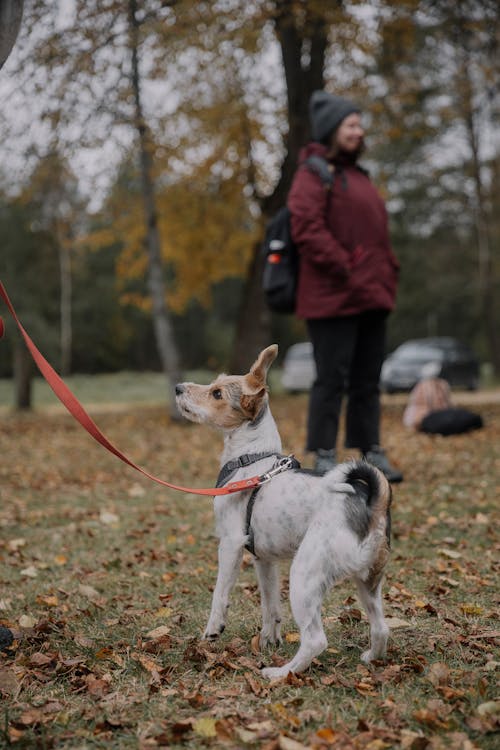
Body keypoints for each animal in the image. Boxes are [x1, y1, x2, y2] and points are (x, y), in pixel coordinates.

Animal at [175, 346, 390, 680]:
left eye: (217, 393)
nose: (177, 388)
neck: (251, 459)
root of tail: (369, 505)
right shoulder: (264, 559)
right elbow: (270, 605)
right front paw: (268, 639)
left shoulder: (231, 544)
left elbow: (219, 594)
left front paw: (212, 630)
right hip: (368, 583)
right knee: (381, 628)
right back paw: (370, 658)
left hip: (304, 576)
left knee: (315, 640)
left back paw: (280, 673)